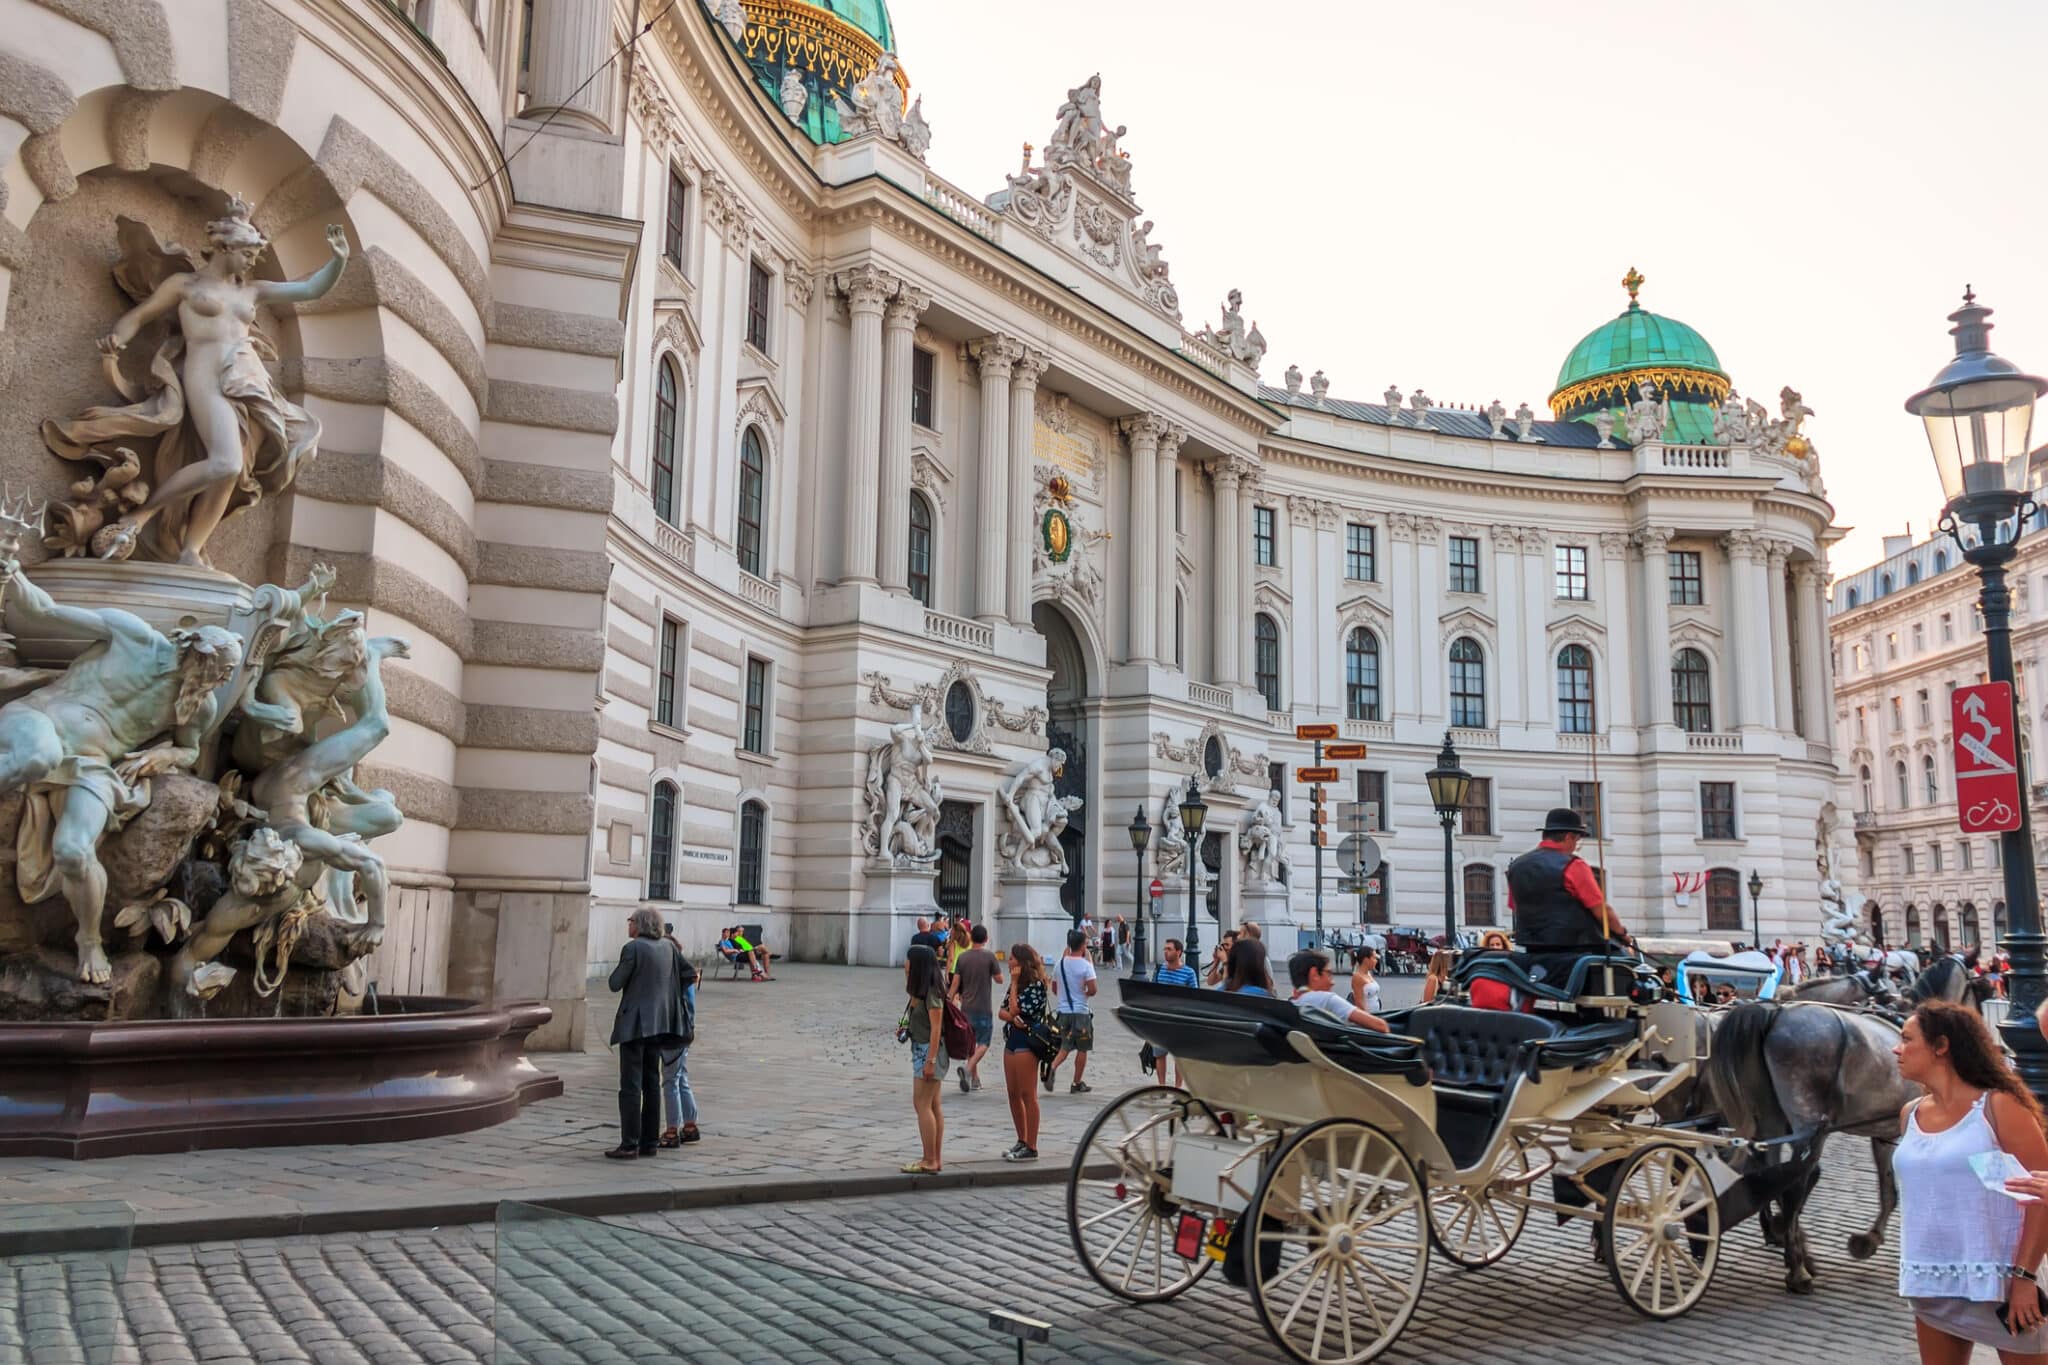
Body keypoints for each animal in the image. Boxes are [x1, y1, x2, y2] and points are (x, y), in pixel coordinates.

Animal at [1695, 998, 1916, 1301]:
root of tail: (1775, 1013)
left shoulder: (1885, 1133)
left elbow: (1888, 1192)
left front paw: (1868, 1240)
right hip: (1809, 1125)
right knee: (1793, 1185)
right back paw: (1798, 1269)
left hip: (1772, 1120)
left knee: (1771, 1173)